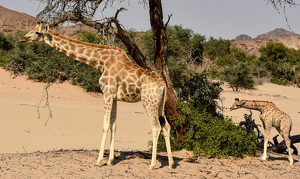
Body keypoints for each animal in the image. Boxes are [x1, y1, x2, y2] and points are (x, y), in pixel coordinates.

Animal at [19, 22, 173, 169]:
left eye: (37, 32)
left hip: (148, 101)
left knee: (156, 127)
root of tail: (163, 85)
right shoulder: (114, 97)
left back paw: (152, 165)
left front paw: (99, 161)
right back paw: (171, 164)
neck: (100, 62)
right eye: (32, 29)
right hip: (160, 103)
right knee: (166, 126)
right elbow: (113, 125)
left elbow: (105, 126)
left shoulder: (107, 93)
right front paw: (110, 160)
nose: (22, 39)